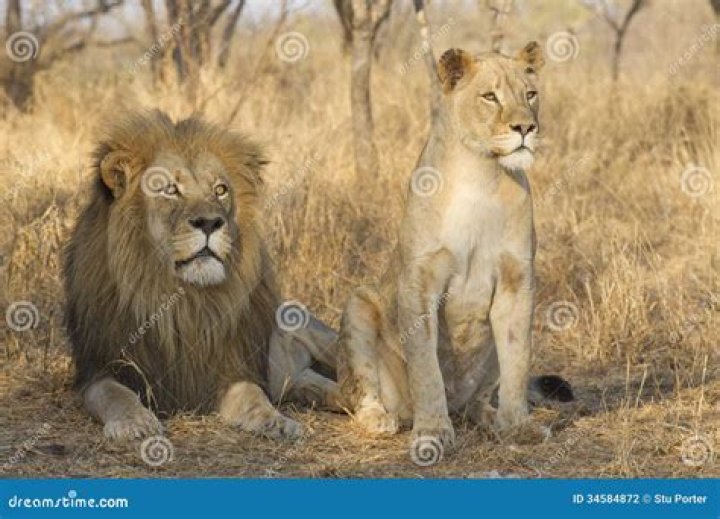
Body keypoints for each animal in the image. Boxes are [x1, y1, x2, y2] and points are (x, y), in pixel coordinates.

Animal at [64, 110, 340, 441]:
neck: (185, 302)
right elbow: (115, 394)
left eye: (220, 190)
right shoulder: (99, 369)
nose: (209, 223)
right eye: (169, 189)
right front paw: (135, 423)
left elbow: (254, 396)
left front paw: (276, 420)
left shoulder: (231, 369)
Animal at [336, 43, 573, 455]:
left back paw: (490, 417)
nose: (526, 128)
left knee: (480, 398)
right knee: (359, 390)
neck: (482, 175)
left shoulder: (517, 280)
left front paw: (518, 425)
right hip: (358, 305)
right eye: (490, 96)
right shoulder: (419, 281)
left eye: (530, 94)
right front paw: (431, 432)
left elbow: (518, 359)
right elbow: (425, 367)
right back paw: (381, 418)